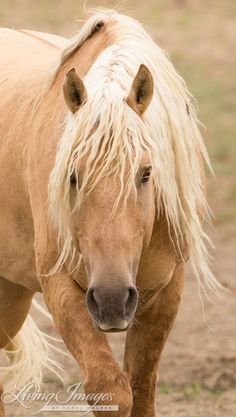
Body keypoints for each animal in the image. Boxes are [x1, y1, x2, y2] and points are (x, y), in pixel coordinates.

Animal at [0, 7, 221, 416]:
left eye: (147, 173)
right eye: (72, 175)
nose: (112, 299)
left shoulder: (166, 291)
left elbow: (142, 386)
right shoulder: (60, 285)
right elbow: (111, 388)